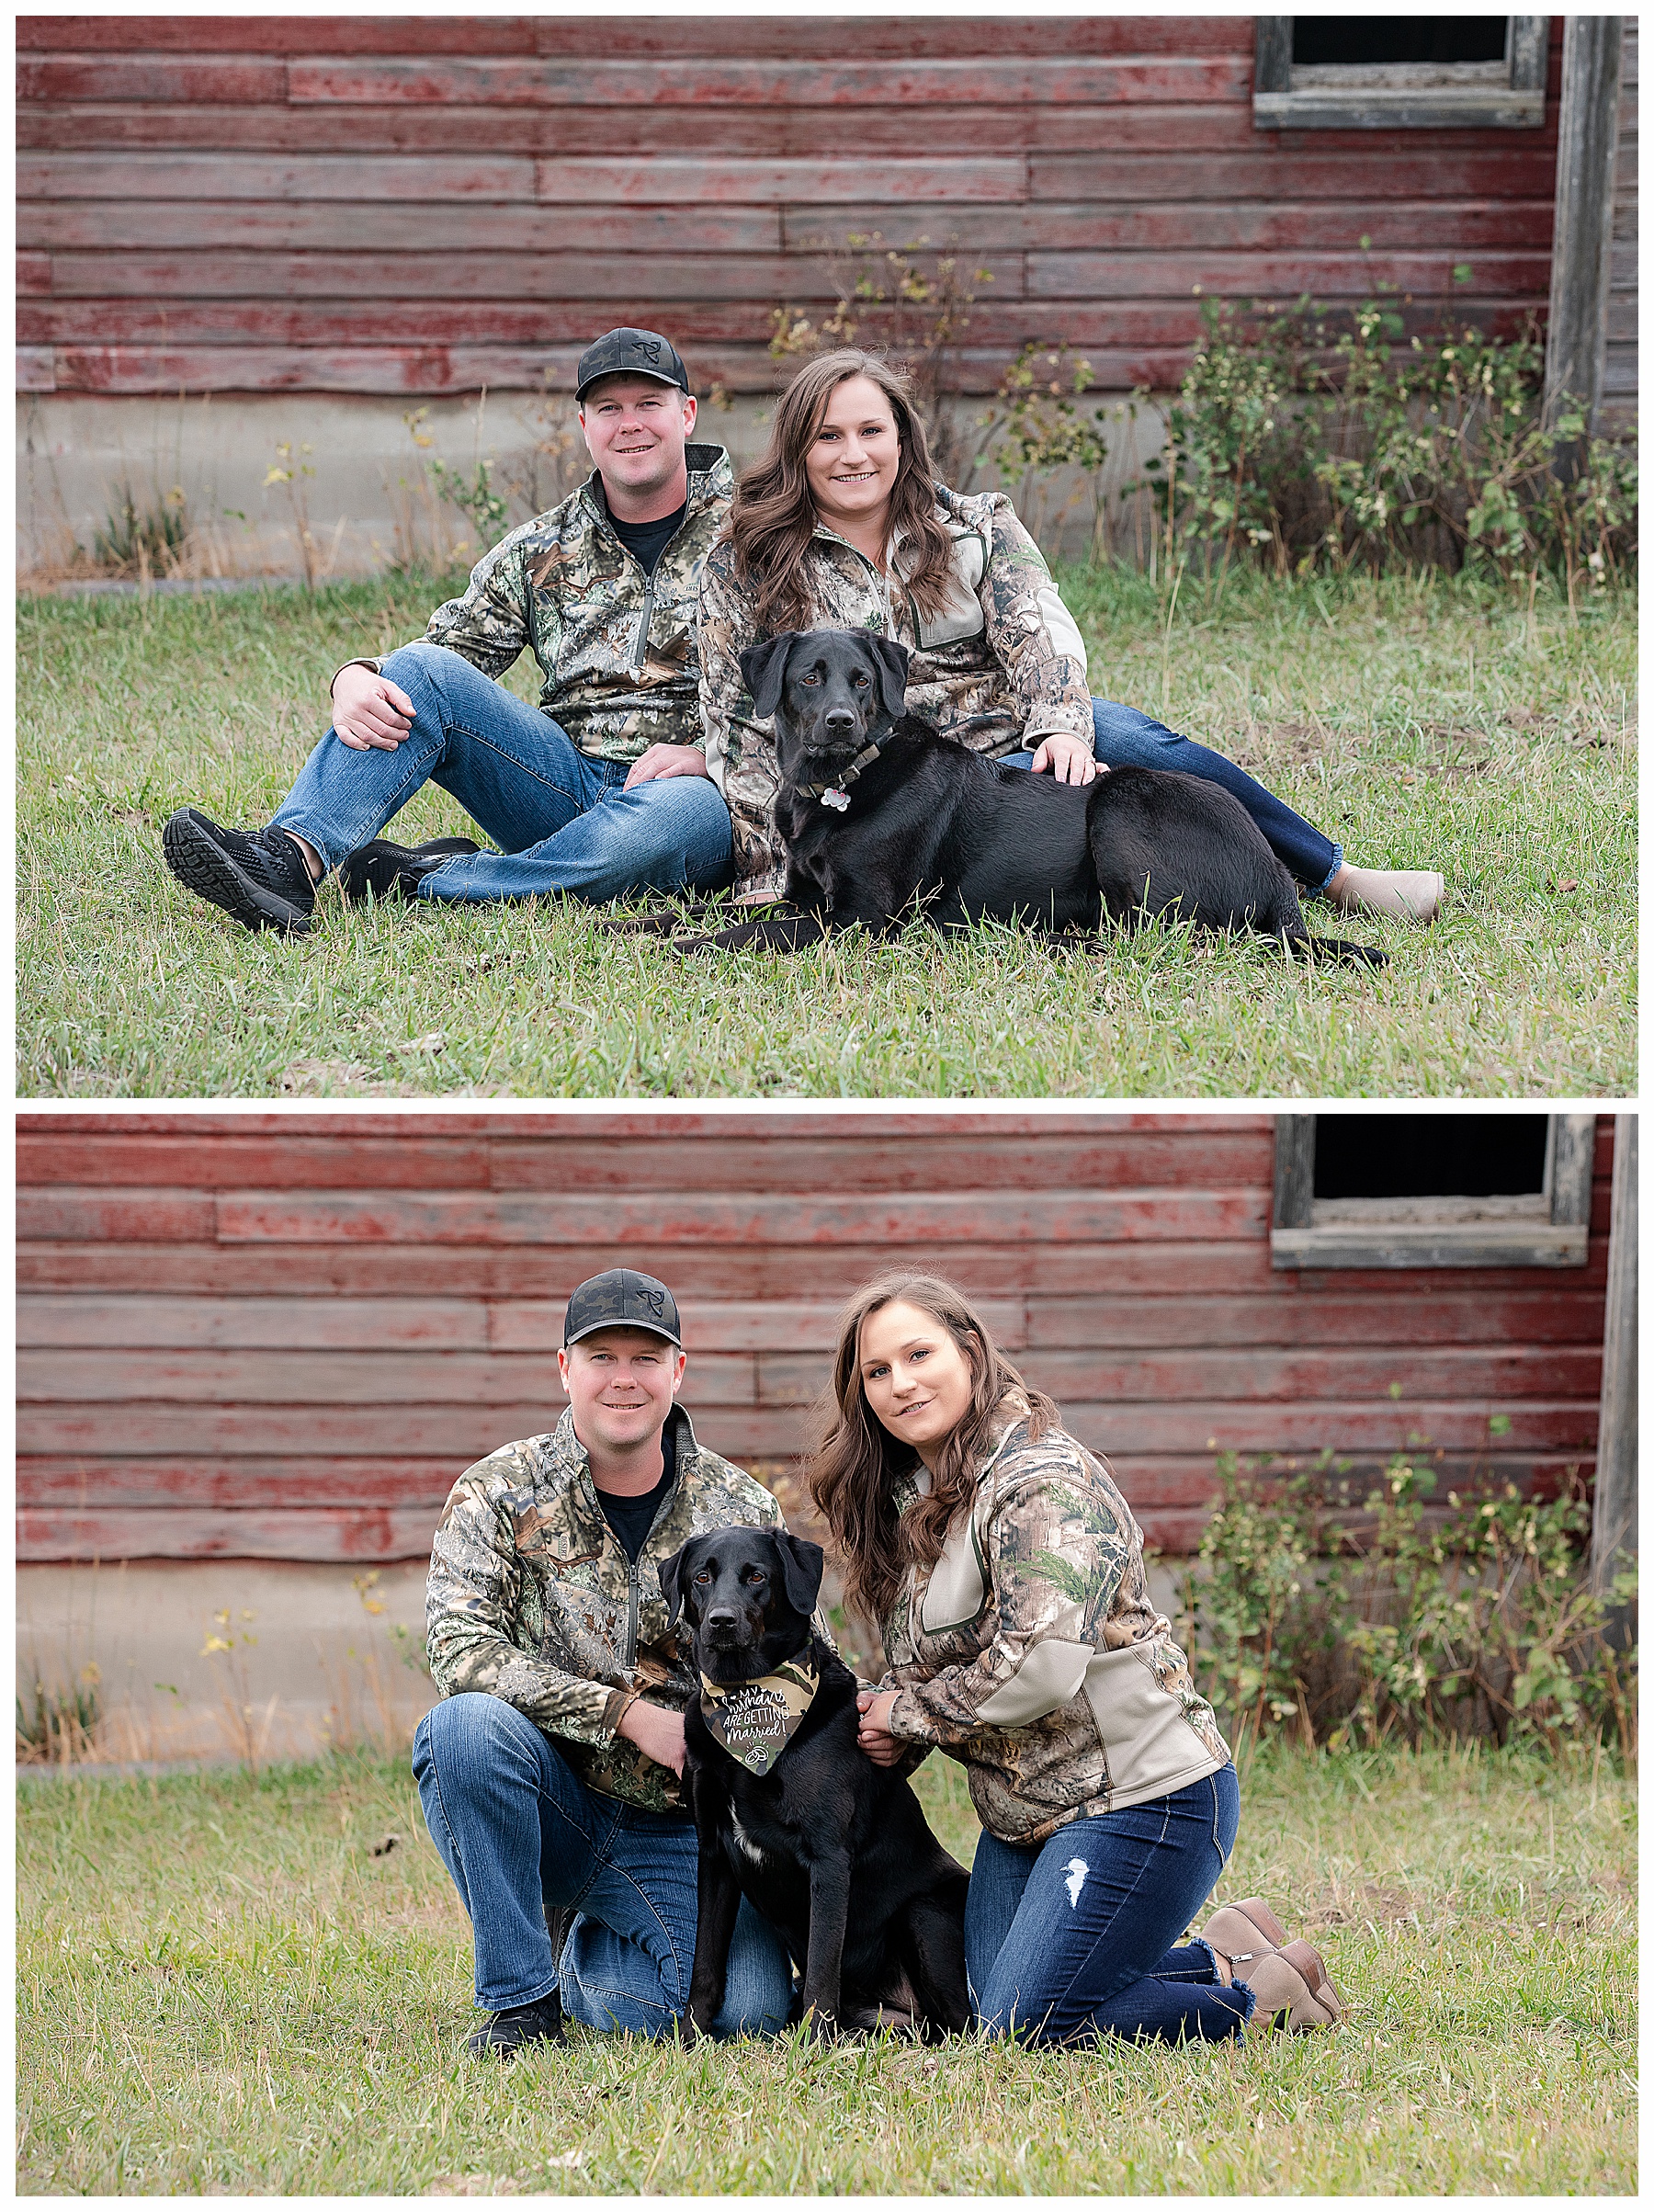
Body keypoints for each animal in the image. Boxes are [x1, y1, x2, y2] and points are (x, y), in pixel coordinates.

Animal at [654, 1530, 977, 2044]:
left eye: (757, 1576)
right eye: (701, 1577)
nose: (721, 1621)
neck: (746, 1703)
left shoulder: (827, 1859)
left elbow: (823, 1972)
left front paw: (812, 2048)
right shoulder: (714, 1855)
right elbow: (705, 1963)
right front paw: (691, 2036)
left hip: (924, 1912)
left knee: (966, 2025)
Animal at [685, 628, 1379, 964]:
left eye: (861, 681)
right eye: (809, 678)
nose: (840, 723)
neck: (837, 786)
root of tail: (1275, 878)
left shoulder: (859, 918)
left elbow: (745, 935)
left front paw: (682, 950)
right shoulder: (802, 895)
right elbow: (715, 912)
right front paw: (658, 926)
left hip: (1120, 804)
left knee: (1155, 934)